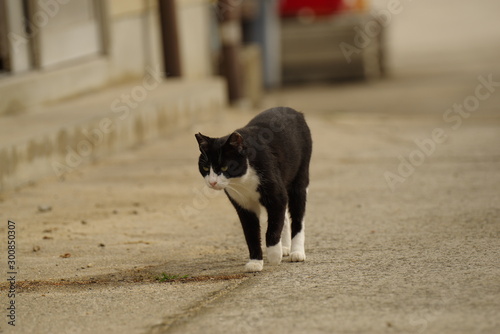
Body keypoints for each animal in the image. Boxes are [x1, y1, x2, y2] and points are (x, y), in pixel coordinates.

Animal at [195, 107, 312, 272]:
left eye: (224, 167)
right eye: (205, 168)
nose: (212, 182)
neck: (243, 181)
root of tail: (294, 111)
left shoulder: (276, 197)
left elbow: (273, 227)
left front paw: (274, 256)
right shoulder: (243, 206)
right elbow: (251, 234)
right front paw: (255, 262)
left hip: (300, 177)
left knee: (297, 216)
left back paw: (296, 252)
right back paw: (285, 247)